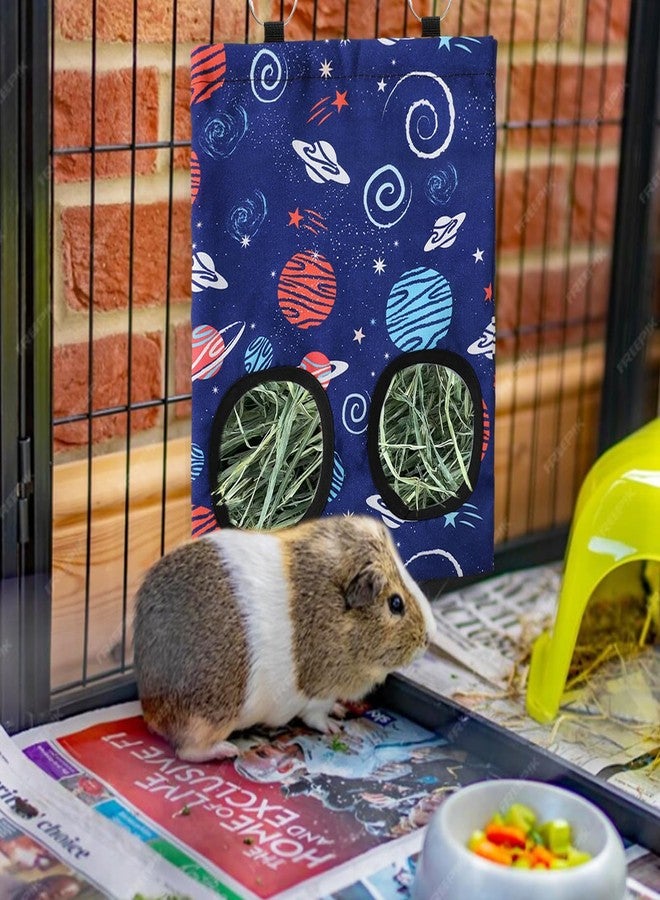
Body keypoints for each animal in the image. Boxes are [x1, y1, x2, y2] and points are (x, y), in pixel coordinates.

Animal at [133, 514, 437, 762]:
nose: (429, 638)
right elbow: (317, 716)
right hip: (211, 718)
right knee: (187, 750)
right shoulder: (318, 692)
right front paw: (334, 727)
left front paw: (340, 712)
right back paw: (227, 751)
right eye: (396, 604)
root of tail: (150, 708)